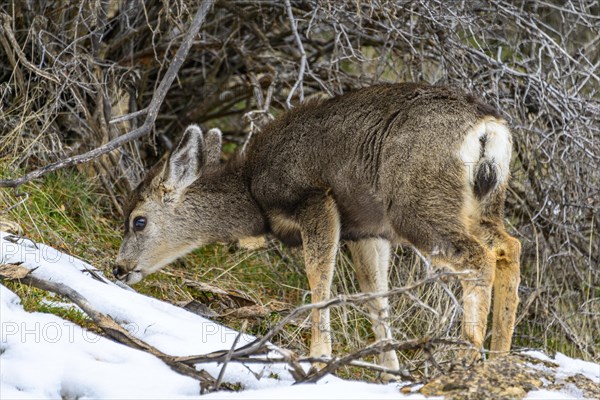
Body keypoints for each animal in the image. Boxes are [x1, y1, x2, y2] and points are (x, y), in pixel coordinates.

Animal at [113, 82, 520, 376]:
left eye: (138, 221)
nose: (118, 268)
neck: (254, 193)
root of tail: (489, 129)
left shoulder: (314, 198)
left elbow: (319, 277)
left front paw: (318, 358)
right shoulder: (368, 230)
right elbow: (376, 298)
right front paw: (387, 373)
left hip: (417, 203)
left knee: (477, 257)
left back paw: (469, 358)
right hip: (481, 205)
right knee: (509, 246)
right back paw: (500, 359)